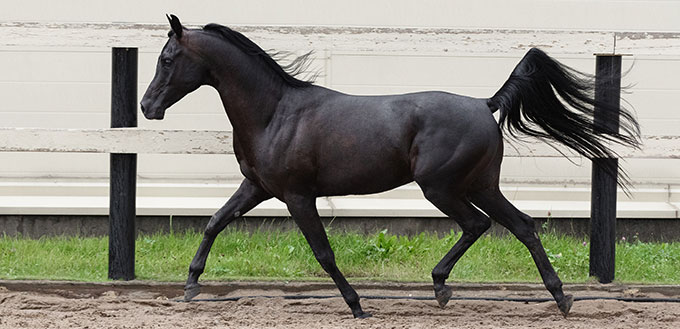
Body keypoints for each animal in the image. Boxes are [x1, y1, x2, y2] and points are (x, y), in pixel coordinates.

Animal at [141, 14, 640, 318]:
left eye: (167, 59)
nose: (147, 107)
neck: (275, 113)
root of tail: (485, 104)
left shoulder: (298, 196)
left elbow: (323, 253)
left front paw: (357, 305)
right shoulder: (257, 188)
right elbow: (213, 222)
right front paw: (190, 286)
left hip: (442, 187)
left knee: (479, 225)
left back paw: (445, 286)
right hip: (480, 185)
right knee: (521, 225)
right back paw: (558, 296)